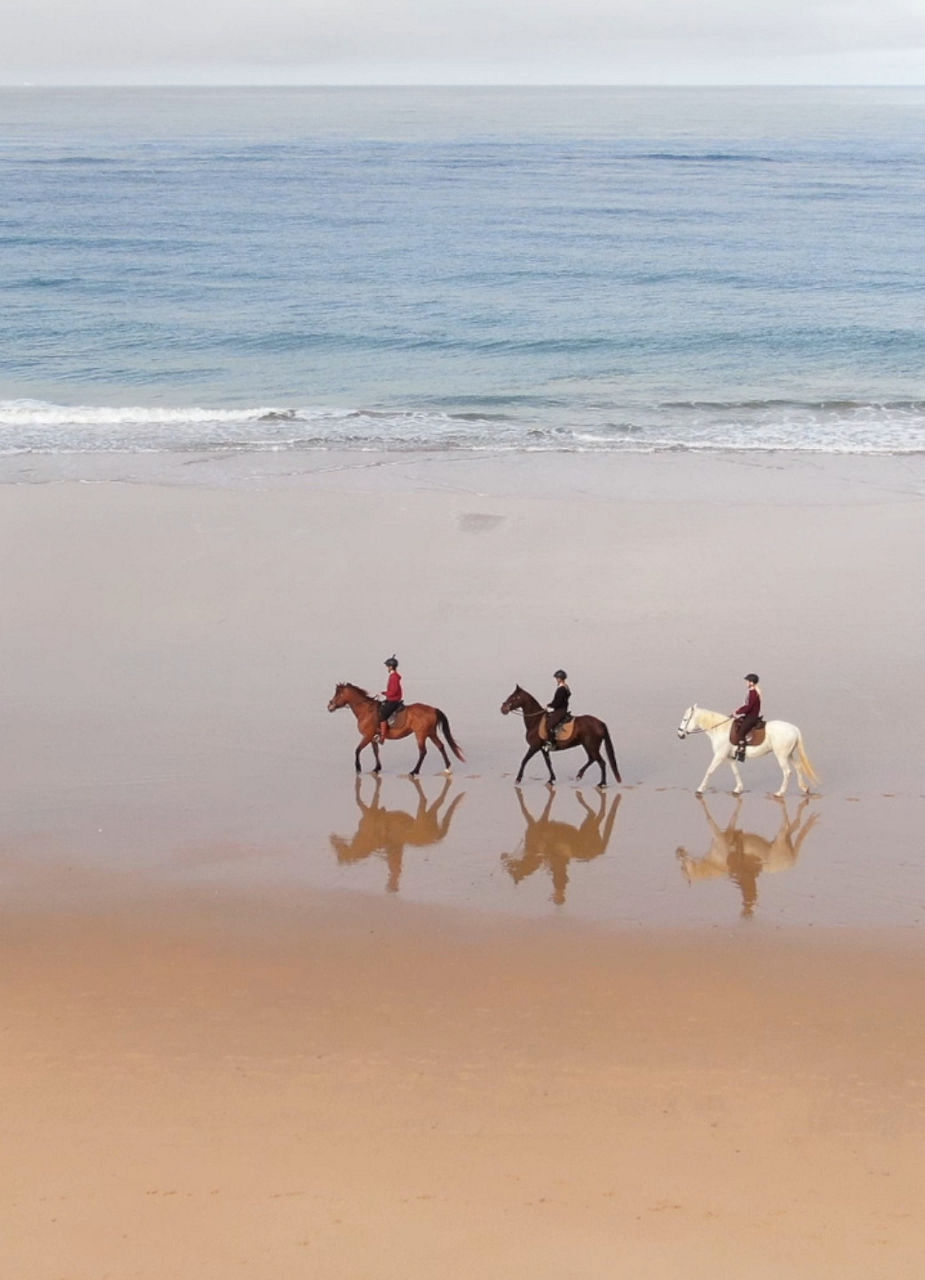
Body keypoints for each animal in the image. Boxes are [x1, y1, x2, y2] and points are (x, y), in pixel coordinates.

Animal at [330, 686, 465, 773]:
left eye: (338, 694)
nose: (329, 706)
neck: (366, 710)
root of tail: (433, 709)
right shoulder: (372, 737)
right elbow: (375, 751)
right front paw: (377, 768)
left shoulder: (367, 736)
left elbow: (357, 750)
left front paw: (358, 768)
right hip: (431, 733)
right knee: (440, 746)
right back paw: (447, 767)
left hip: (420, 734)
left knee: (423, 751)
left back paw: (414, 771)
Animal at [675, 706, 818, 793]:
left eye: (685, 719)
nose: (679, 734)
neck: (721, 729)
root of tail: (794, 729)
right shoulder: (729, 757)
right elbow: (735, 772)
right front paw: (738, 789)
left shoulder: (720, 755)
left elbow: (709, 771)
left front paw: (700, 789)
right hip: (788, 754)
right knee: (798, 767)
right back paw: (804, 788)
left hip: (781, 756)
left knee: (787, 772)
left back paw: (780, 793)